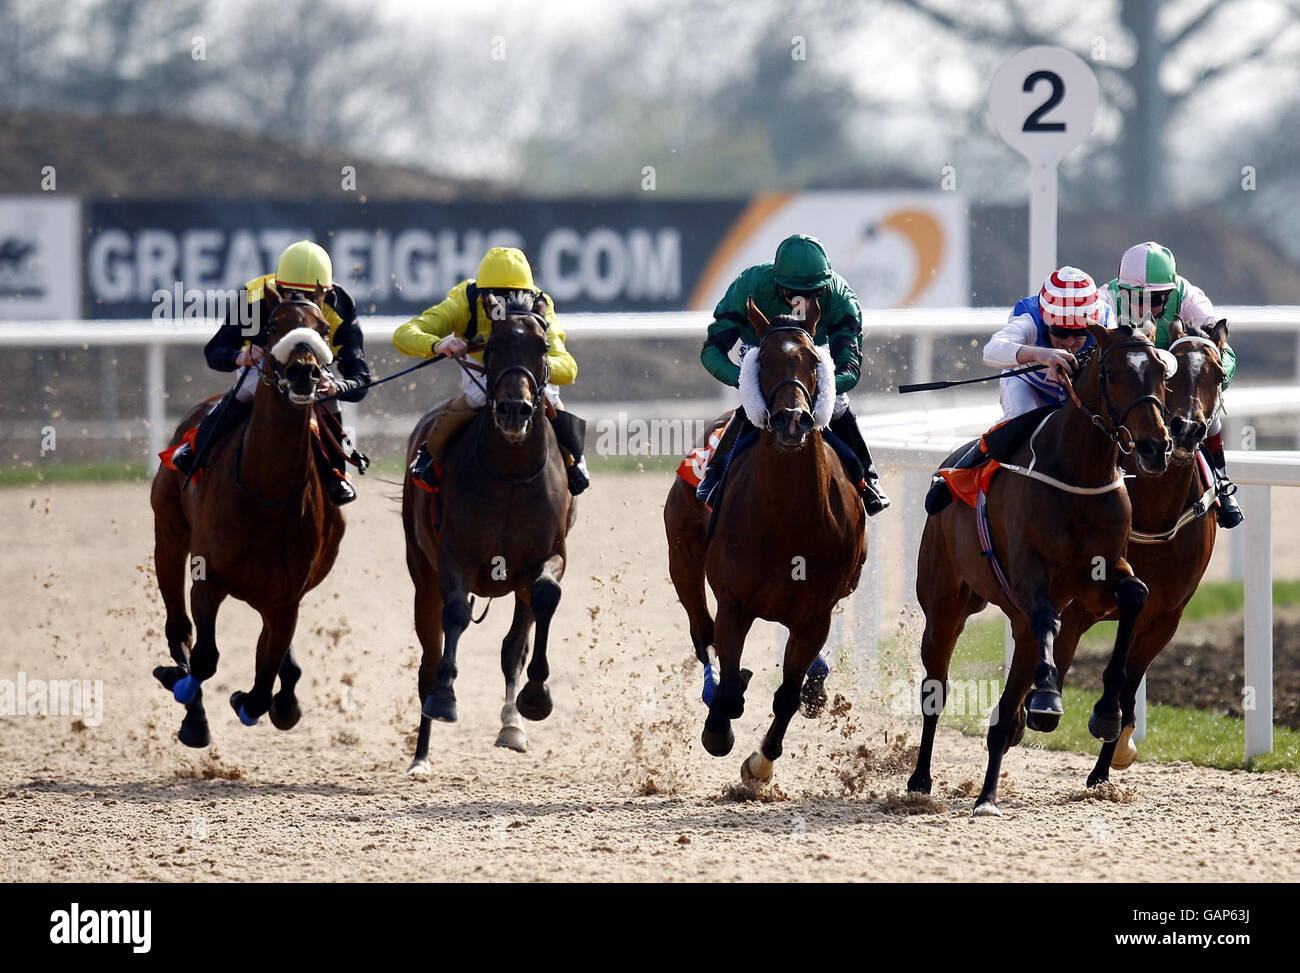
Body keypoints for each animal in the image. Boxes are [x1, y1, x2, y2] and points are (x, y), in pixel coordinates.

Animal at [150, 284, 345, 749]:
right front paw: (184, 694)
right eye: (272, 326)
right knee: (179, 629)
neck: (266, 493)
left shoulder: (285, 599)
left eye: (324, 329)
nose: (304, 374)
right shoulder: (208, 578)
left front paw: (255, 701)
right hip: (168, 536)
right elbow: (205, 657)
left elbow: (264, 678)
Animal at [400, 288, 574, 775]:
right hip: (421, 575)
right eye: (492, 347)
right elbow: (456, 615)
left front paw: (535, 697)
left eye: (542, 346)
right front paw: (445, 698)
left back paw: (512, 724)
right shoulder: (454, 557)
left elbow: (545, 599)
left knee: (513, 644)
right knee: (429, 656)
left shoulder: (548, 556)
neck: (510, 474)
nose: (515, 410)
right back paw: (421, 755)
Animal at [665, 296, 868, 780]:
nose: (791, 421)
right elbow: (727, 682)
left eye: (813, 360)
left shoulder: (817, 613)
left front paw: (761, 762)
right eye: (762, 362)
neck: (789, 518)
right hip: (682, 559)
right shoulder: (735, 603)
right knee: (702, 632)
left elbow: (788, 694)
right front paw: (719, 729)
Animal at [909, 318, 1175, 811]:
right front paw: (1048, 700)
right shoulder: (1031, 577)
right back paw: (921, 779)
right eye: (1112, 373)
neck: (1077, 473)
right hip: (943, 606)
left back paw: (988, 793)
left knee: (1004, 712)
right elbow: (1048, 618)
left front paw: (1107, 713)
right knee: (936, 688)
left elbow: (1136, 595)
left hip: (1012, 622)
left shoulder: (1098, 577)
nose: (1154, 447)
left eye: (1160, 374)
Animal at [1055, 322, 1227, 785]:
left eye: (1218, 374)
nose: (1185, 430)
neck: (1152, 514)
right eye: (1172, 373)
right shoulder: (1079, 607)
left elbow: (1129, 683)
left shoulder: (1164, 617)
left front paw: (1110, 755)